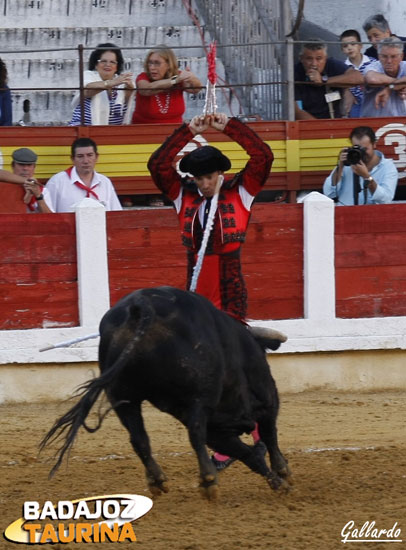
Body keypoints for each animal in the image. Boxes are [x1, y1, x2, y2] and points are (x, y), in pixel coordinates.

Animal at [41, 288, 290, 500]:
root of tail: (141, 306)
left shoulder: (219, 430)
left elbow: (248, 452)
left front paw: (277, 482)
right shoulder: (262, 401)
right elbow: (268, 434)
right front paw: (282, 473)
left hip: (123, 396)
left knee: (139, 438)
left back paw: (157, 480)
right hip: (199, 392)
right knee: (195, 433)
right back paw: (208, 480)